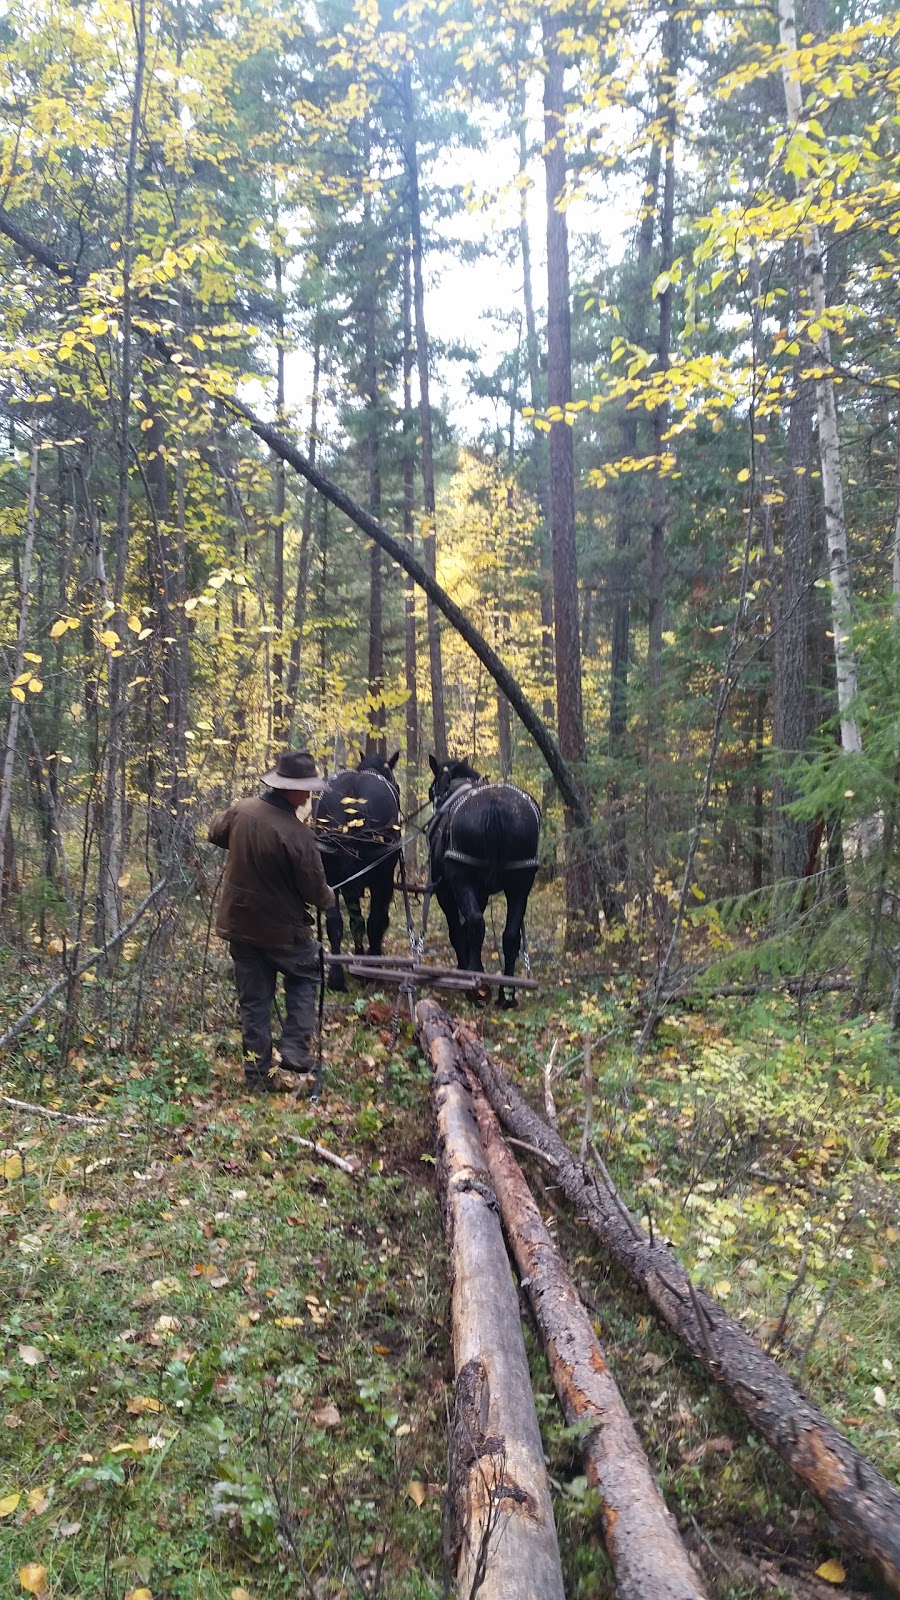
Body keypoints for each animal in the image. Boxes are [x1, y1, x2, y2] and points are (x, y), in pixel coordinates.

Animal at [315, 752, 398, 985]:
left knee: (336, 922)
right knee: (373, 920)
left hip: (332, 874)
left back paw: (336, 976)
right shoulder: (385, 880)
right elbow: (378, 920)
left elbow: (354, 921)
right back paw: (372, 969)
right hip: (380, 876)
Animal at [422, 755, 534, 1004]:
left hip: (461, 879)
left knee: (475, 922)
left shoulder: (445, 891)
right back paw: (507, 995)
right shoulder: (481, 892)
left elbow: (457, 931)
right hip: (522, 881)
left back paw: (475, 985)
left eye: (431, 790)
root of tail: (495, 805)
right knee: (510, 934)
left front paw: (464, 967)